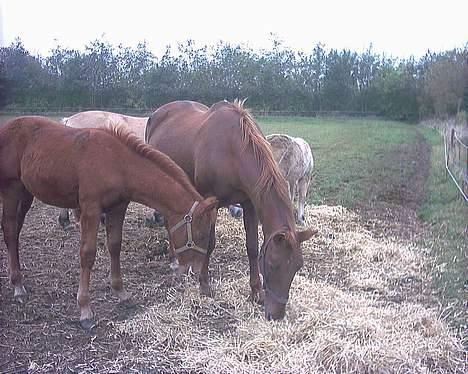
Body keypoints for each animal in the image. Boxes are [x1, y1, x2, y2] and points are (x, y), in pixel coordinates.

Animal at [0, 116, 218, 328]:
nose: (195, 270)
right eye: (200, 234)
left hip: (26, 194)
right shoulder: (91, 209)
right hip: (11, 190)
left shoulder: (117, 208)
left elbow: (114, 245)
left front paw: (121, 293)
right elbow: (87, 254)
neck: (118, 163)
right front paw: (85, 310)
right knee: (10, 230)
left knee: (15, 232)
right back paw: (18, 286)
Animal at [146, 101, 318, 320]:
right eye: (272, 265)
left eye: (297, 266)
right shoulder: (211, 201)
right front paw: (204, 286)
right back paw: (174, 259)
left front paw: (256, 292)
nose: (276, 315)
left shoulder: (249, 203)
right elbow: (209, 243)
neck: (232, 150)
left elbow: (252, 247)